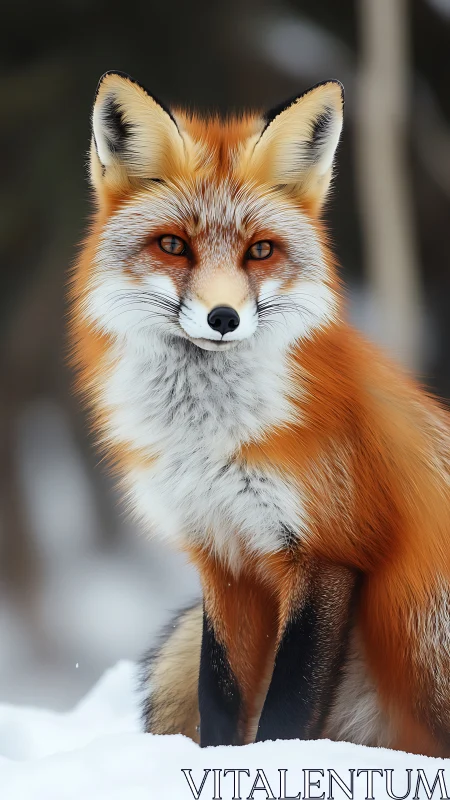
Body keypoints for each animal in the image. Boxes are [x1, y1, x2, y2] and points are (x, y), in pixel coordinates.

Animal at [70, 71, 450, 757]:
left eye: (261, 251)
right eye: (173, 246)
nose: (224, 317)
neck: (210, 442)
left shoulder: (328, 551)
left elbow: (287, 707)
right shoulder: (222, 557)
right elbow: (221, 696)